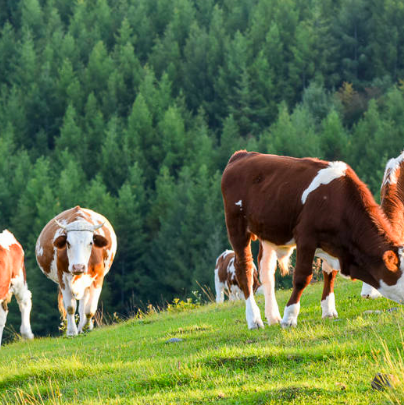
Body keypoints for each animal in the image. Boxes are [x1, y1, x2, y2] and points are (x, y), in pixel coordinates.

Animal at [35, 205, 117, 334]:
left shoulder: (98, 277)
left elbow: (90, 309)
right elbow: (70, 307)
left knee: (83, 305)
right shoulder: (62, 278)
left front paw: (86, 327)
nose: (78, 267)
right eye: (68, 243)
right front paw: (72, 331)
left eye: (91, 243)